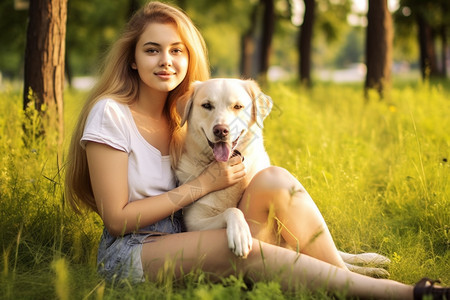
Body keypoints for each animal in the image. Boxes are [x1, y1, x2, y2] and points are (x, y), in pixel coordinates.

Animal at [176, 78, 390, 278]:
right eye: (207, 105)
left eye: (237, 106)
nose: (221, 130)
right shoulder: (194, 223)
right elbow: (232, 210)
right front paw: (240, 233)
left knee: (340, 256)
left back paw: (374, 262)